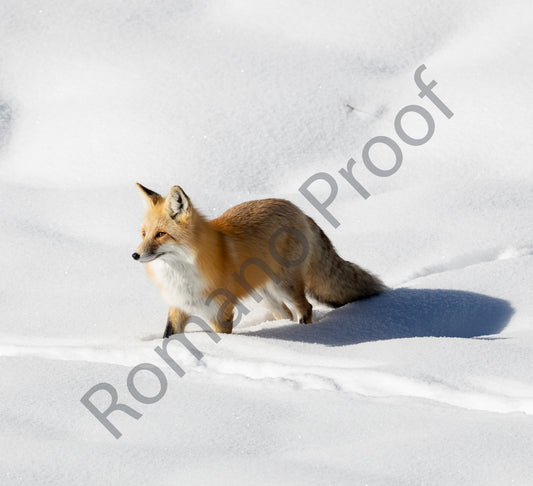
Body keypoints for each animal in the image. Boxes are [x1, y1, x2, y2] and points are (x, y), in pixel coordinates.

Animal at [132, 184, 382, 336]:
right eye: (144, 234)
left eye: (161, 234)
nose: (134, 255)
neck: (181, 274)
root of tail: (298, 210)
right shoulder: (178, 306)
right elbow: (168, 336)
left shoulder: (219, 313)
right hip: (264, 293)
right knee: (286, 313)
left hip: (284, 286)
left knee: (306, 307)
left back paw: (304, 332)